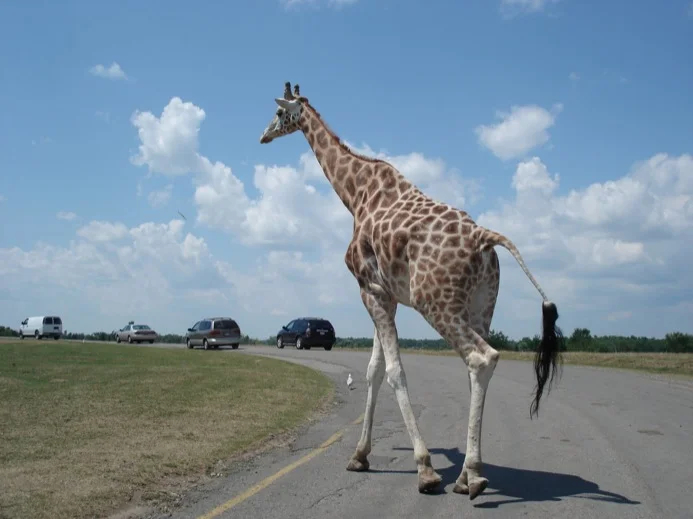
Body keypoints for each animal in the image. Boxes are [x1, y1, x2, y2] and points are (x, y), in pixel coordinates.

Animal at [259, 82, 565, 500]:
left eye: (277, 113)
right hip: (481, 305)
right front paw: (359, 456)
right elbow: (373, 370)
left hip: (438, 303)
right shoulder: (382, 293)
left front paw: (425, 469)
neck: (356, 194)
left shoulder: (370, 291)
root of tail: (487, 240)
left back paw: (472, 476)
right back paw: (467, 475)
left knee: (482, 358)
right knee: (475, 367)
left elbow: (393, 372)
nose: (263, 136)